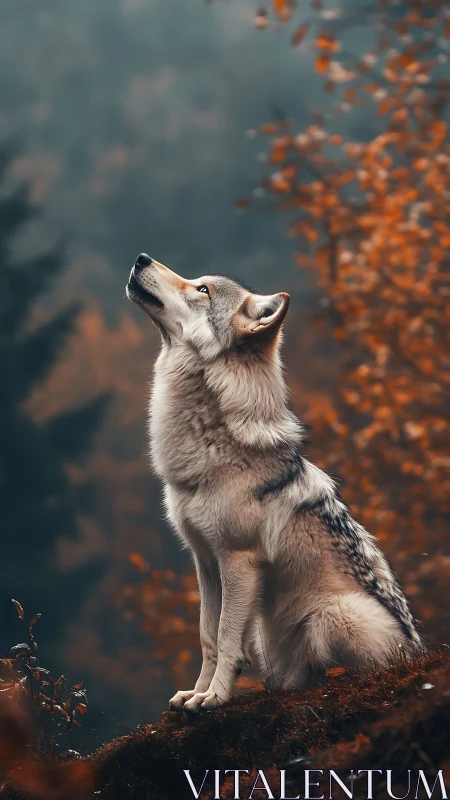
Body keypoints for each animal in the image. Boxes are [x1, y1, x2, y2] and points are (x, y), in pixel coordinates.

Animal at [126, 252, 424, 713]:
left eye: (202, 289)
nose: (141, 258)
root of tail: (416, 652)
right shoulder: (205, 561)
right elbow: (207, 635)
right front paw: (195, 693)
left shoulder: (238, 561)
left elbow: (227, 639)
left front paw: (214, 697)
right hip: (270, 634)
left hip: (333, 613)